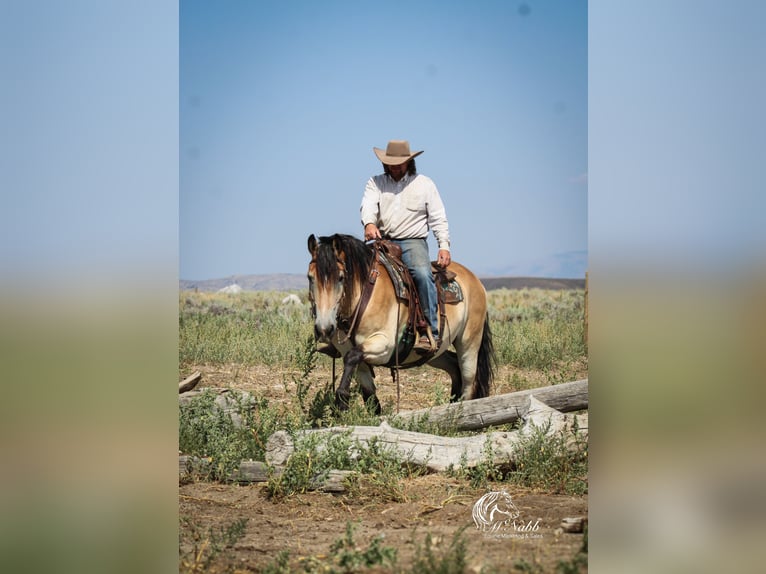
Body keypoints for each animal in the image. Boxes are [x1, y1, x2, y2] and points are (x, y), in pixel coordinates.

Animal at [307, 233, 495, 413]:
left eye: (340, 277)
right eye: (310, 278)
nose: (324, 328)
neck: (364, 295)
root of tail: (475, 281)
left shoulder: (385, 345)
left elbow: (352, 356)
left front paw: (341, 400)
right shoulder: (353, 353)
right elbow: (370, 397)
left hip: (469, 344)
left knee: (468, 383)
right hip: (434, 353)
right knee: (454, 368)